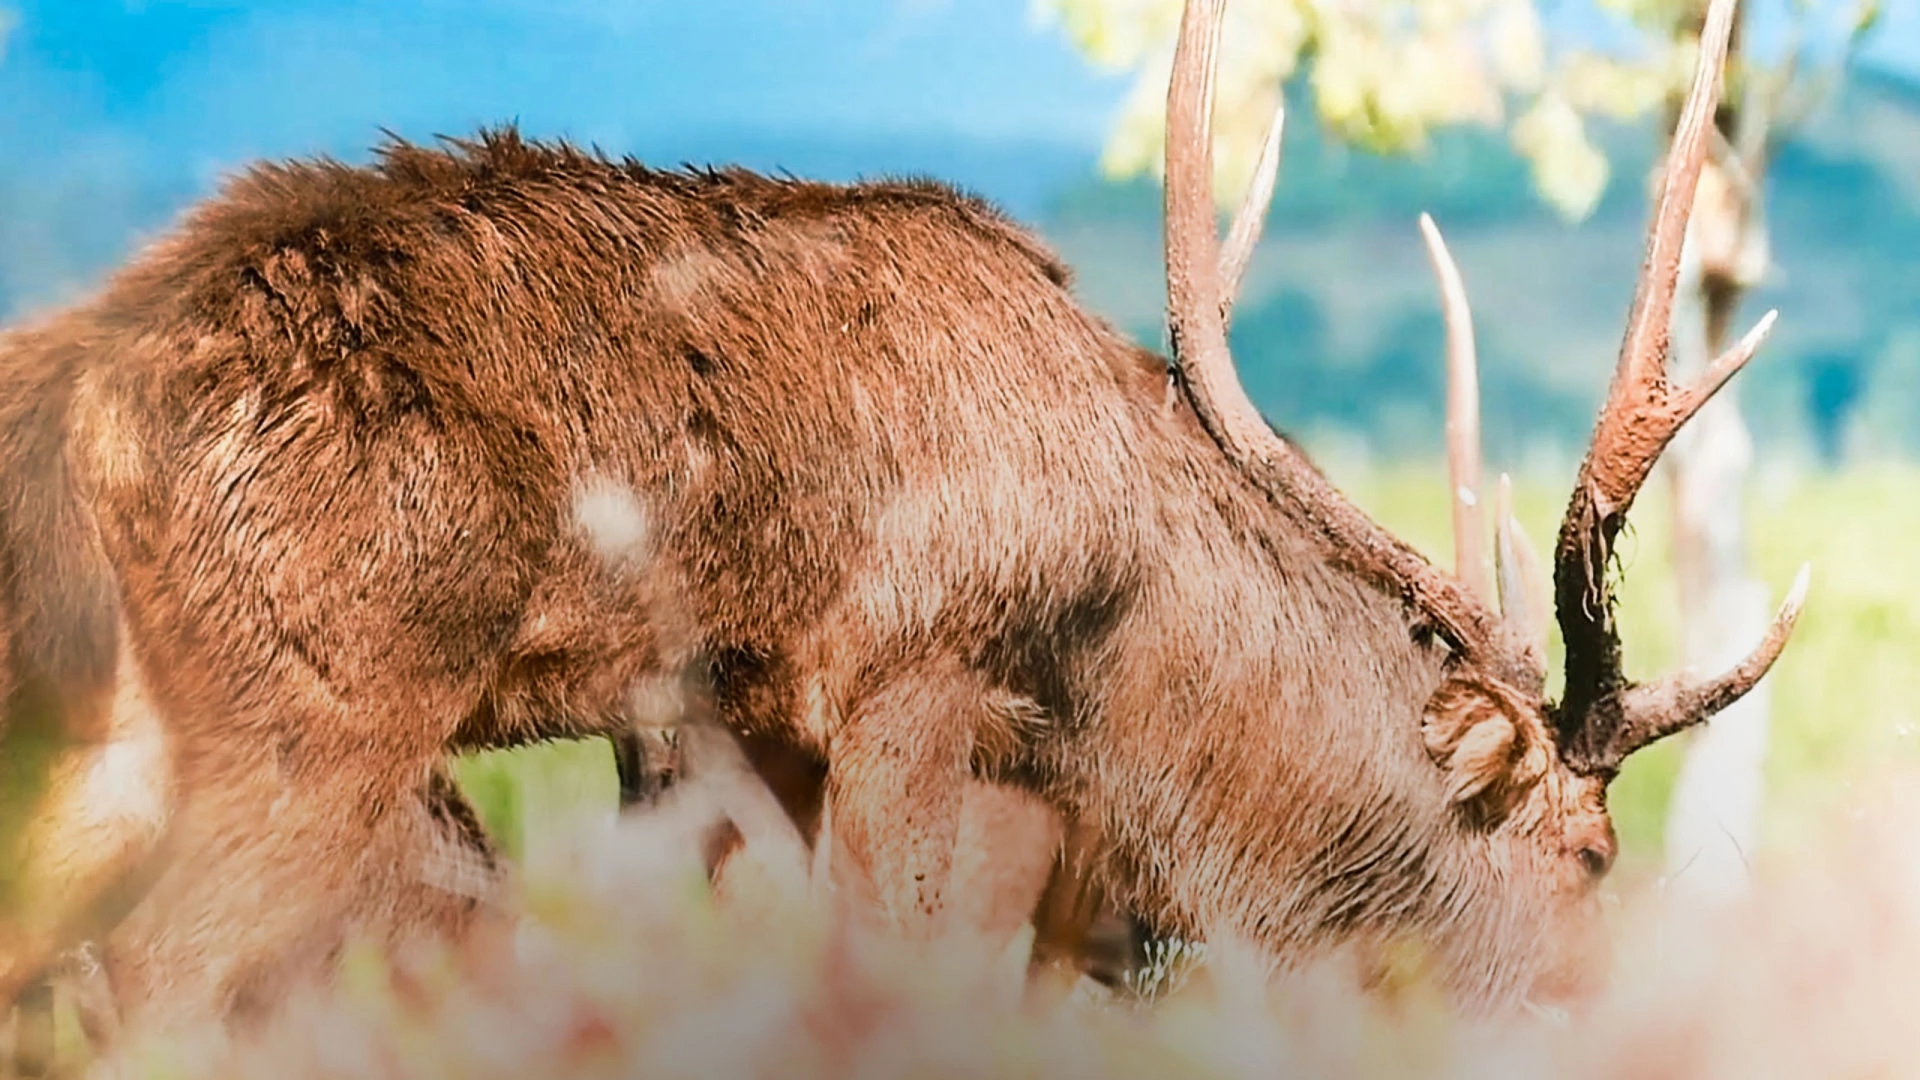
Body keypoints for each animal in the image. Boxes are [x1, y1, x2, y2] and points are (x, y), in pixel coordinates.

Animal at [0, 0, 1802, 1045]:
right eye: (1591, 853)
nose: (1617, 1023)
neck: (1116, 626)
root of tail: (82, 385)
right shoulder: (908, 681)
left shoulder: (740, 737)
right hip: (310, 710)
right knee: (166, 976)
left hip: (114, 735)